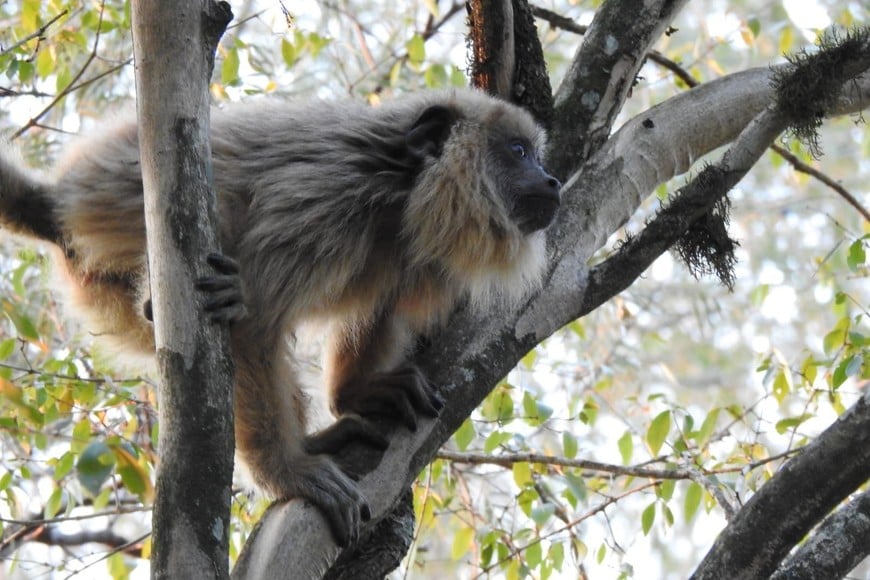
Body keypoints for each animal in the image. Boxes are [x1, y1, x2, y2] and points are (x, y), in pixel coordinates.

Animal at [0, 88, 561, 545]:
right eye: (518, 152)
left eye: (536, 154)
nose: (553, 179)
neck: (401, 184)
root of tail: (61, 201)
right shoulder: (325, 197)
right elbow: (252, 328)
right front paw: (286, 473)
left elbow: (381, 305)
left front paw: (357, 392)